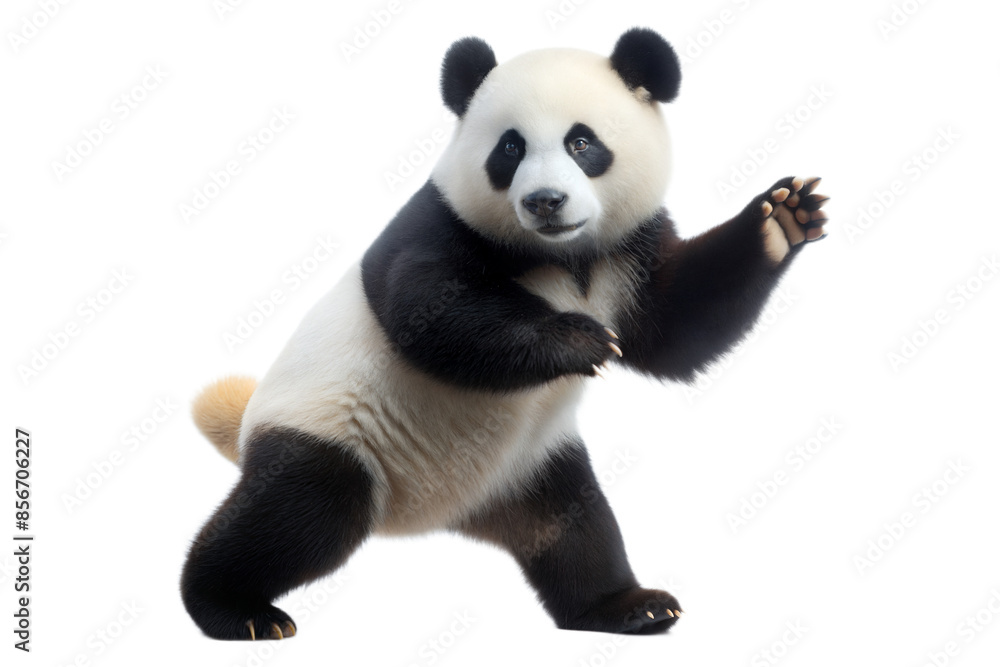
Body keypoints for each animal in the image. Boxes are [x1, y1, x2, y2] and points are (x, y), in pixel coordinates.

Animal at [181, 27, 828, 641]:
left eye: (582, 143)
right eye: (510, 148)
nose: (545, 201)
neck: (565, 255)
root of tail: (436, 512)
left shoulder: (630, 250)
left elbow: (675, 327)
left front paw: (783, 218)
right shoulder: (440, 223)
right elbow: (429, 311)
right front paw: (579, 340)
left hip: (532, 467)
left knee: (576, 529)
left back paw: (628, 606)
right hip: (331, 427)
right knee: (299, 513)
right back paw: (236, 610)